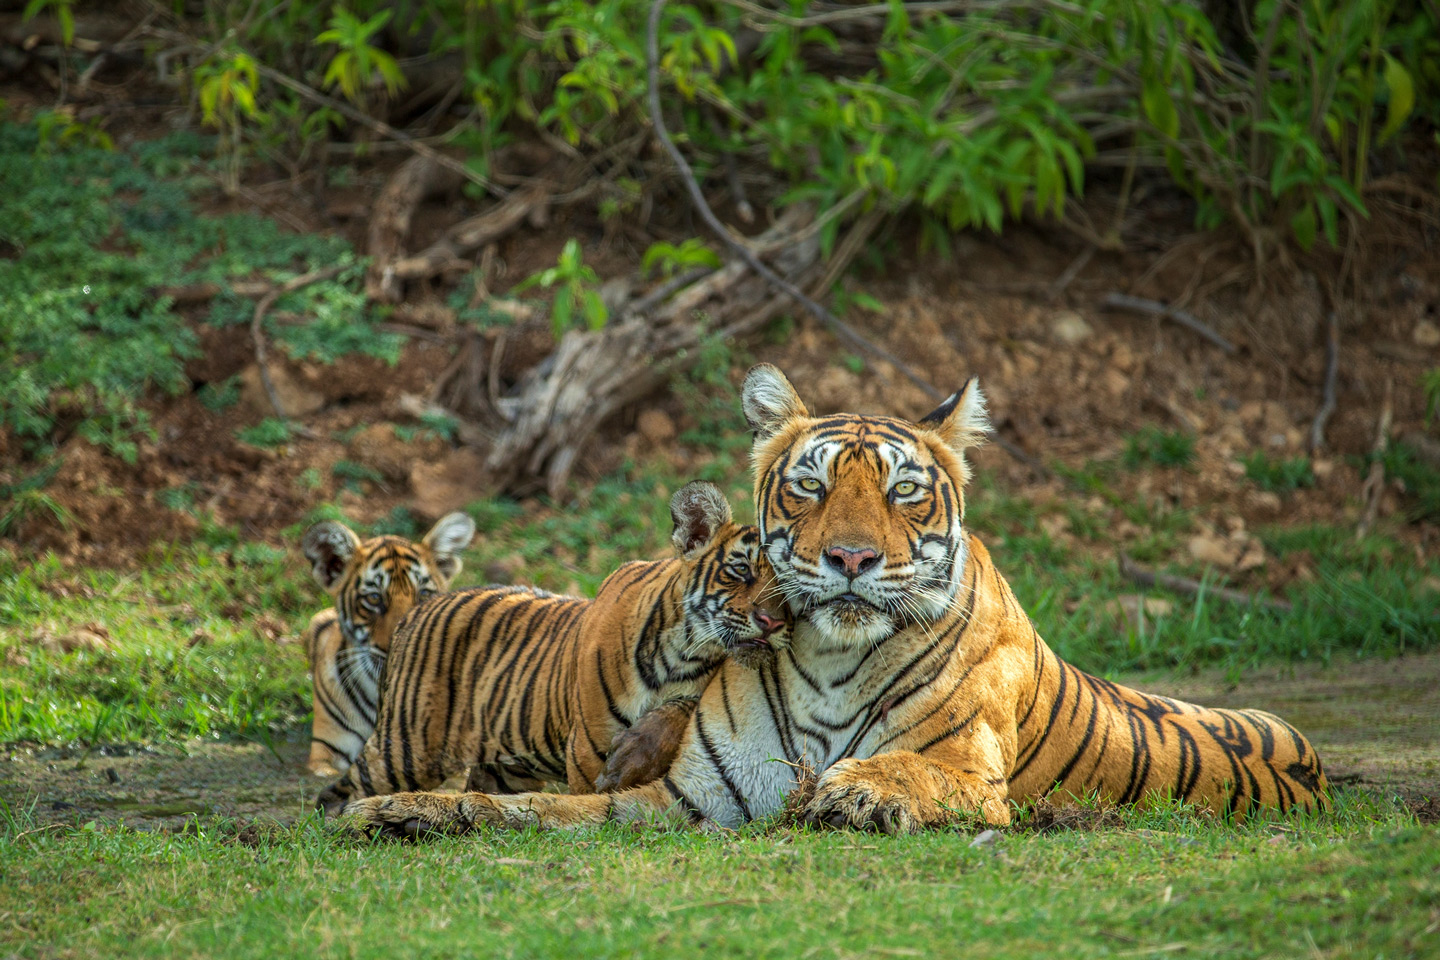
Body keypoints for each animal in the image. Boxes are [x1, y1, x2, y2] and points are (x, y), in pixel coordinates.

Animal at [318, 483, 789, 817]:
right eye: (741, 571)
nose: (774, 621)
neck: (685, 652)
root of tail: (417, 607)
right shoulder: (585, 747)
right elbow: (586, 794)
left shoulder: (691, 690)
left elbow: (671, 717)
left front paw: (631, 760)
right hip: (405, 751)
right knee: (341, 788)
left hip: (499, 764)